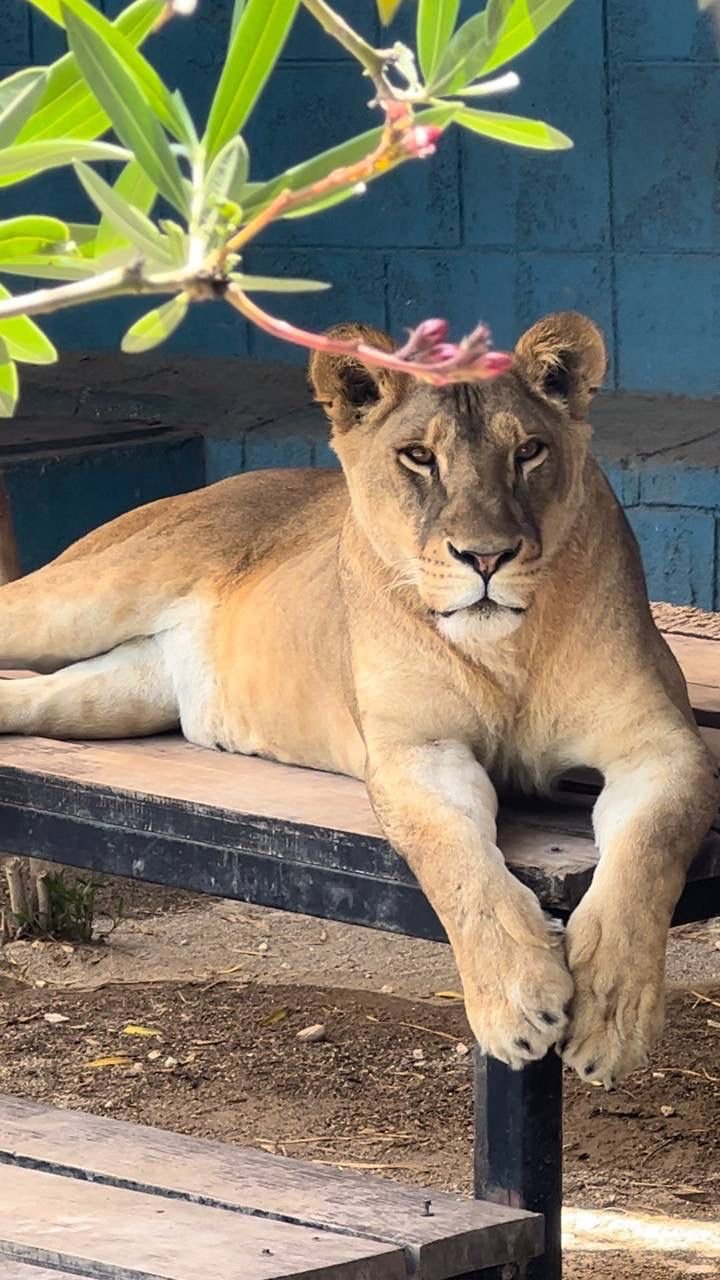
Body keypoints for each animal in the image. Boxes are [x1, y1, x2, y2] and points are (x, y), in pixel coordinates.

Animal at [0, 312, 716, 1085]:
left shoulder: (660, 745)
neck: (508, 650)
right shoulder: (416, 751)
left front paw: (613, 1014)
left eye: (528, 451)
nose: (486, 557)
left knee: (33, 697)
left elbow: (647, 850)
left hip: (117, 694)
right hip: (82, 598)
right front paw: (516, 997)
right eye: (418, 457)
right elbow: (455, 860)